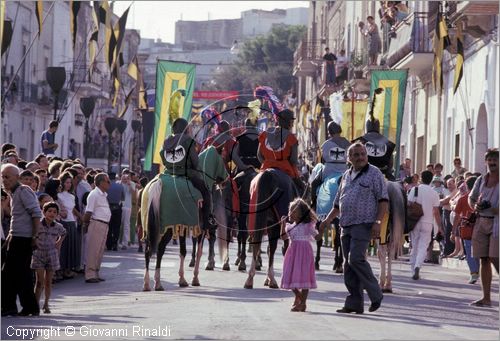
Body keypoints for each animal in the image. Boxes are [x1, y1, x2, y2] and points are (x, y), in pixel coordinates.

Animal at [142, 145, 226, 290]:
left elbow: (183, 251)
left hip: (152, 228)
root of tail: (158, 183)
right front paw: (195, 279)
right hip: (166, 228)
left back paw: (149, 283)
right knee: (159, 249)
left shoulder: (182, 225)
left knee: (150, 250)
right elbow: (198, 252)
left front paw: (182, 279)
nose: (226, 179)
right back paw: (156, 282)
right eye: (222, 158)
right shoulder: (201, 228)